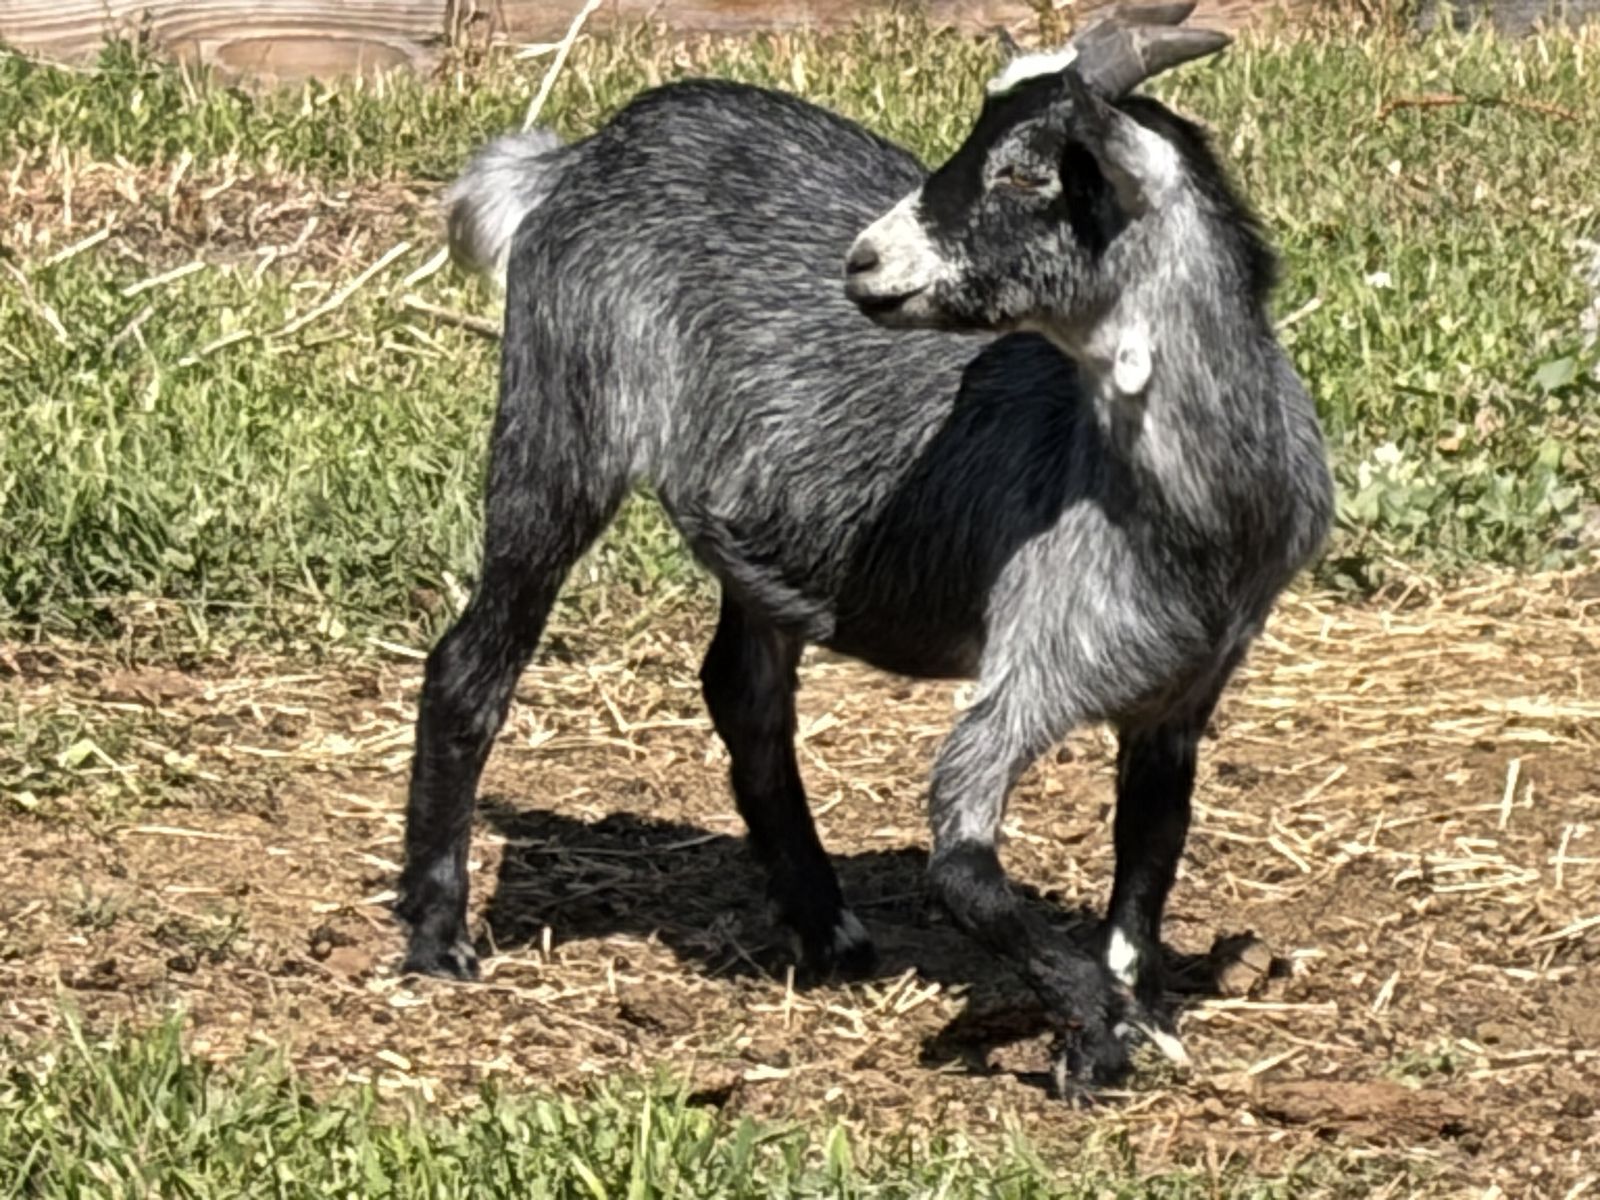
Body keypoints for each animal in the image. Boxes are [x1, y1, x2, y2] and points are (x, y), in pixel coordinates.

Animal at [398, 4, 1334, 1093]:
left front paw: (1137, 1009)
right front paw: (1094, 1035)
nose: (863, 261)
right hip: (559, 417)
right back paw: (436, 933)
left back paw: (827, 927)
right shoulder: (1035, 665)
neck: (1191, 517)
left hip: (756, 528)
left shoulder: (1183, 691)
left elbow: (1150, 850)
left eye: (1028, 174)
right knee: (470, 665)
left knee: (744, 693)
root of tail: (578, 157)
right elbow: (962, 867)